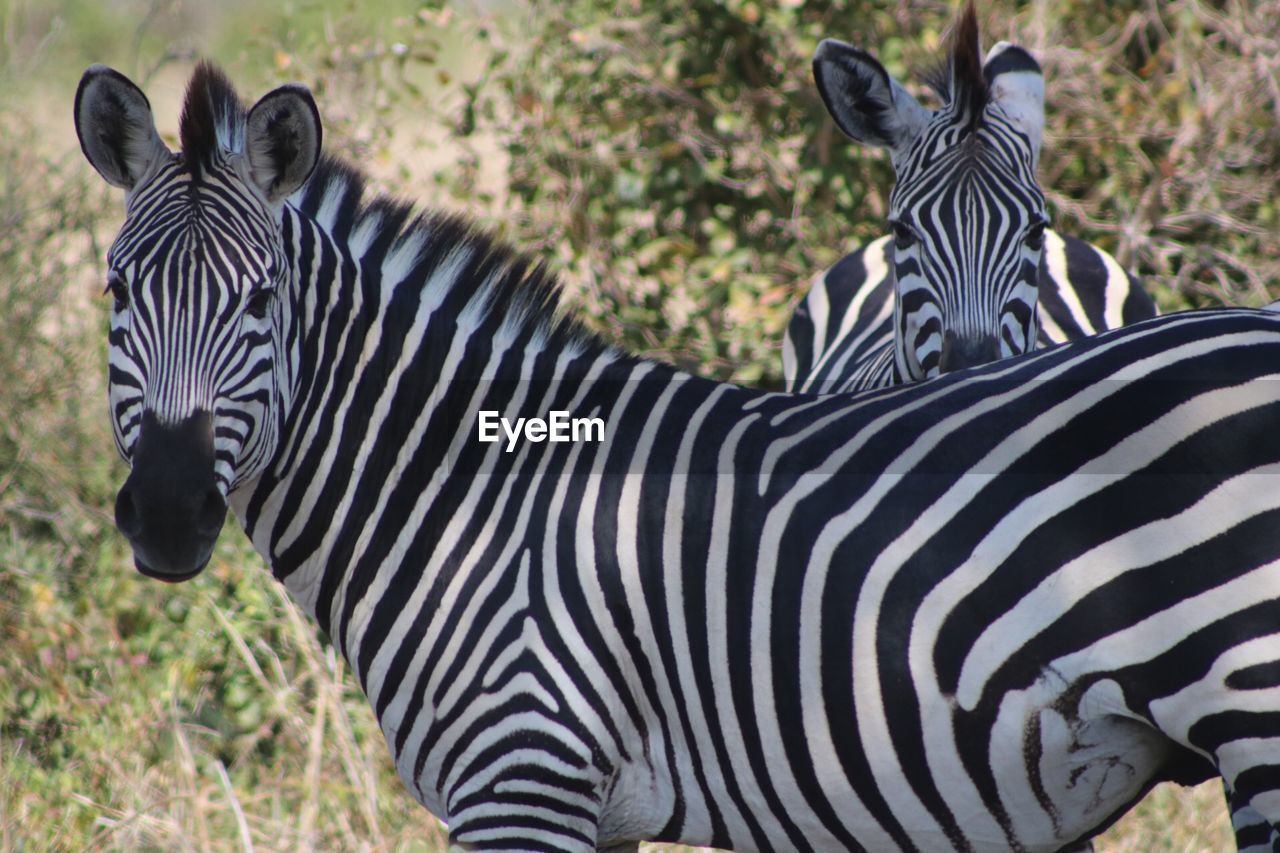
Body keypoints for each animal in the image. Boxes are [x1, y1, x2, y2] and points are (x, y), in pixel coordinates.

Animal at [74, 56, 1280, 845]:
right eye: (117, 294)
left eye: (260, 302)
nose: (169, 514)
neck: (467, 495)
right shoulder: (583, 805)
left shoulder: (522, 775)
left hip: (1254, 710)